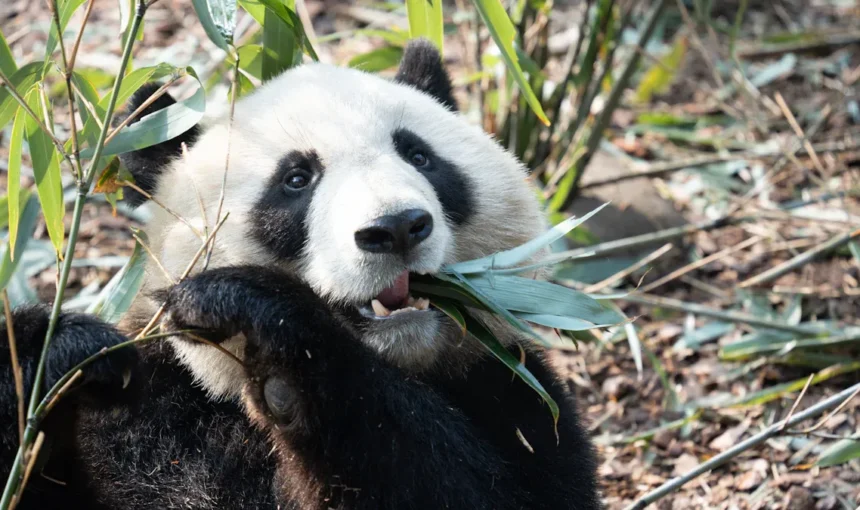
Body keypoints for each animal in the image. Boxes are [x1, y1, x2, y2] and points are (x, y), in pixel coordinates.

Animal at [1, 40, 600, 509]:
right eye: (296, 179)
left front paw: (266, 329)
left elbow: (478, 489)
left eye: (419, 156)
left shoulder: (517, 398)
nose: (395, 228)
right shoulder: (149, 413)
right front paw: (61, 352)